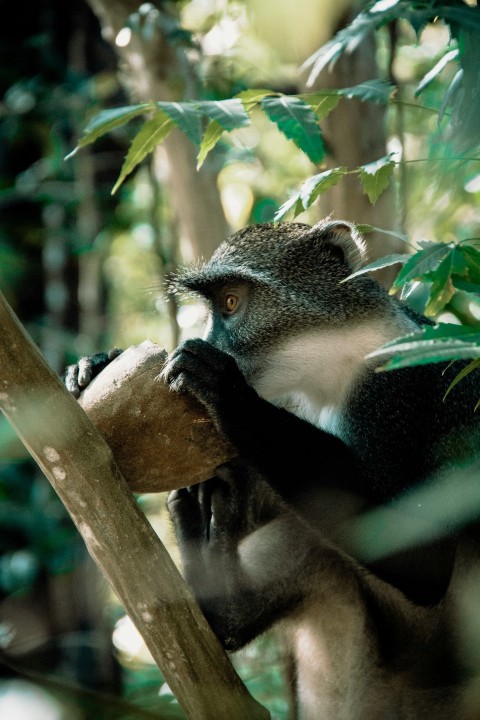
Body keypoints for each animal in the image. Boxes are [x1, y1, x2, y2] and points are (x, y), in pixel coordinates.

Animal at [66, 220, 480, 719]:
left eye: (230, 302)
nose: (211, 342)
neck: (333, 368)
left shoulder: (394, 388)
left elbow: (422, 556)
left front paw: (229, 394)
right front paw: (94, 365)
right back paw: (221, 598)